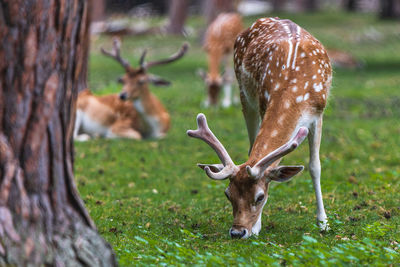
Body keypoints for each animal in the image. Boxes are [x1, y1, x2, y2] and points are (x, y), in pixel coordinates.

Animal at [188, 17, 332, 240]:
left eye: (260, 197)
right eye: (228, 194)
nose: (237, 231)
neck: (294, 87)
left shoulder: (318, 113)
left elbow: (315, 166)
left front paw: (323, 223)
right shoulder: (263, 102)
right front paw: (257, 226)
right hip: (245, 95)